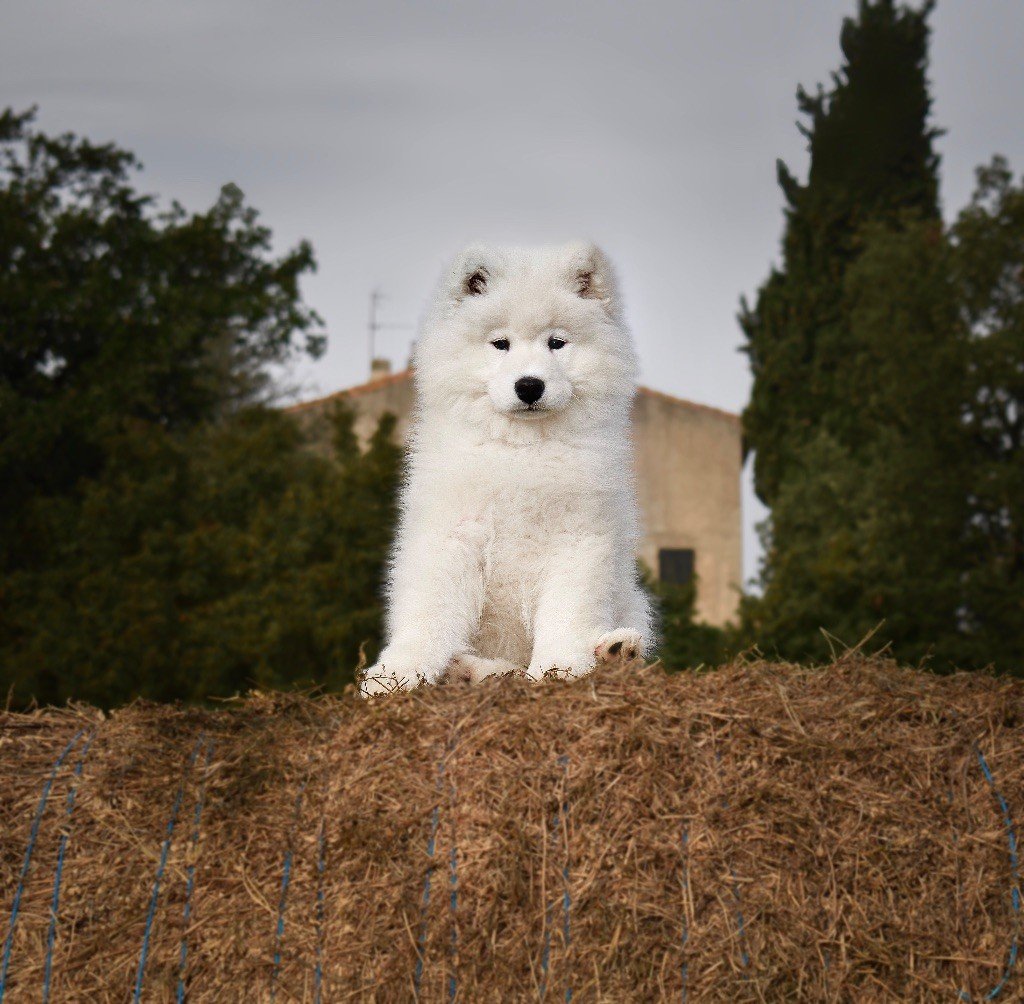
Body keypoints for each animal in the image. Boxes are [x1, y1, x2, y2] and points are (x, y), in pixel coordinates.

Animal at [360, 242, 647, 696]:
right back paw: (466, 670)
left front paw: (560, 668)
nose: (529, 385)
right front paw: (398, 673)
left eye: (556, 343)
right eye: (500, 344)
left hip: (633, 598)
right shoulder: (452, 535)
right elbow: (428, 612)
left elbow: (566, 614)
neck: (521, 451)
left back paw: (616, 651)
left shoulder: (578, 538)